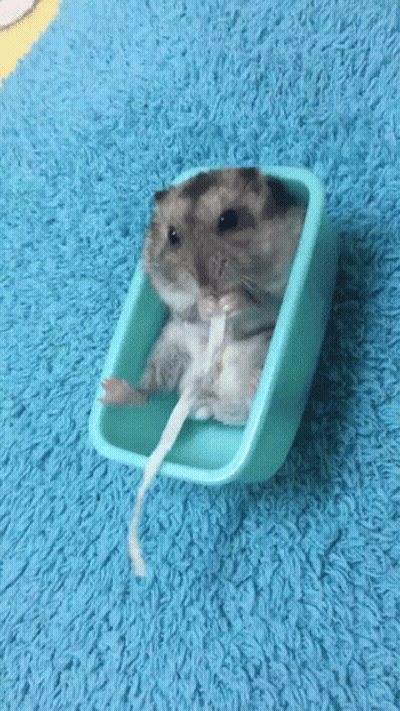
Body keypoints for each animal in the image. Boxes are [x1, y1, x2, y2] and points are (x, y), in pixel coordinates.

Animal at [99, 168, 306, 425]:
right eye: (172, 236)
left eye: (229, 220)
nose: (206, 286)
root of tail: (210, 395)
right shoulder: (174, 299)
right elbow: (192, 306)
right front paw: (208, 305)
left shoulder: (279, 291)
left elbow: (258, 301)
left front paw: (231, 300)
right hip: (169, 347)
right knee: (149, 390)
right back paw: (112, 391)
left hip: (262, 347)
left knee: (250, 398)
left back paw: (256, 381)